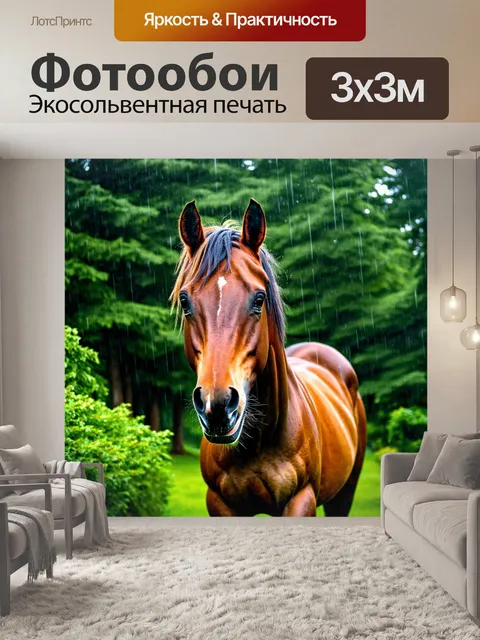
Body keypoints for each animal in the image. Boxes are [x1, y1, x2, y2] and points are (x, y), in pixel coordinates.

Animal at [170, 199, 367, 517]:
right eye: (186, 302)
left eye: (259, 298)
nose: (218, 405)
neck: (260, 441)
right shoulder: (219, 503)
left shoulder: (301, 499)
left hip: (345, 493)